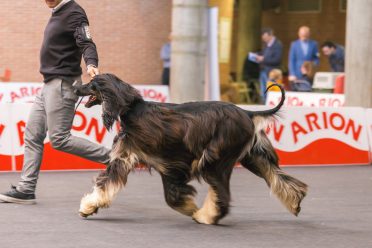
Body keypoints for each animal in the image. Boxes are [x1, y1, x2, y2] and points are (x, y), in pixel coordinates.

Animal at [74, 74, 306, 225]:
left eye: (92, 84)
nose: (76, 88)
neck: (132, 110)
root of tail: (247, 113)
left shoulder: (170, 163)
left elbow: (171, 195)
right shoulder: (132, 158)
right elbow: (109, 183)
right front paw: (89, 207)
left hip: (215, 159)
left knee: (223, 193)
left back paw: (207, 216)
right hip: (253, 157)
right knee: (280, 179)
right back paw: (295, 202)